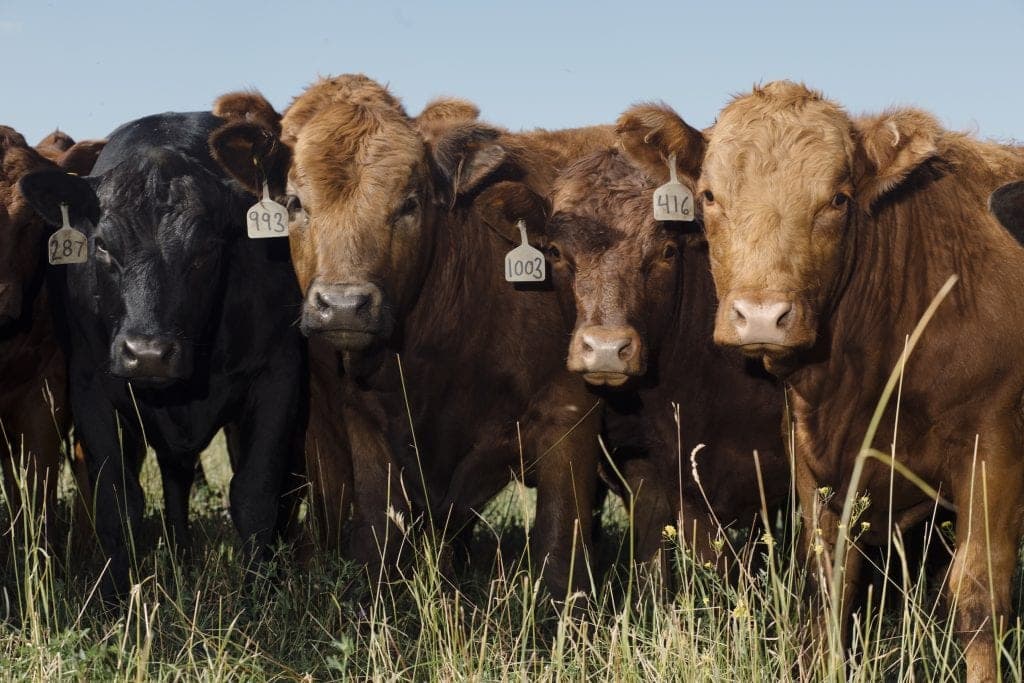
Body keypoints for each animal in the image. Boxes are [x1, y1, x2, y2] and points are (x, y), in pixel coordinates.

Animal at [18, 110, 308, 600]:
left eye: (206, 250)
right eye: (102, 245)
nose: (149, 353)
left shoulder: (280, 373)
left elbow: (255, 492)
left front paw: (260, 595)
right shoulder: (89, 385)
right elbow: (117, 498)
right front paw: (115, 598)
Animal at [208, 74, 616, 596]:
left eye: (409, 203)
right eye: (295, 202)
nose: (344, 304)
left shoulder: (569, 415)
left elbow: (560, 547)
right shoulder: (360, 423)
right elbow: (375, 539)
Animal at [642, 80, 1024, 681]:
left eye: (838, 200)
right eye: (708, 196)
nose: (761, 316)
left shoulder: (994, 449)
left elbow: (979, 598)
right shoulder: (812, 461)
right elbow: (830, 589)